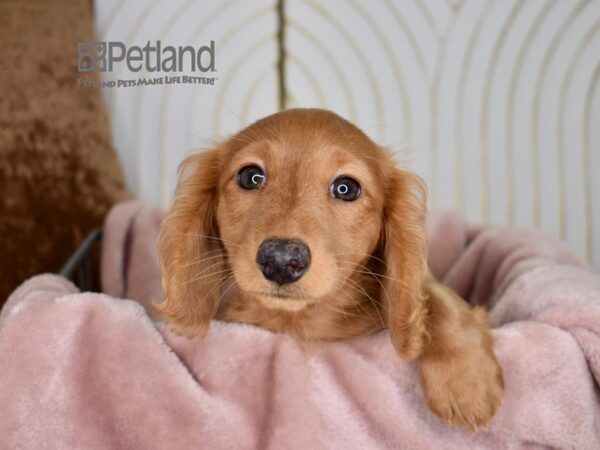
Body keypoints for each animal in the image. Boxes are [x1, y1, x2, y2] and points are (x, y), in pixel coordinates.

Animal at [157, 108, 504, 428]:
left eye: (346, 188)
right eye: (250, 176)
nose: (281, 260)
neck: (302, 321)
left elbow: (437, 297)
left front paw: (466, 382)